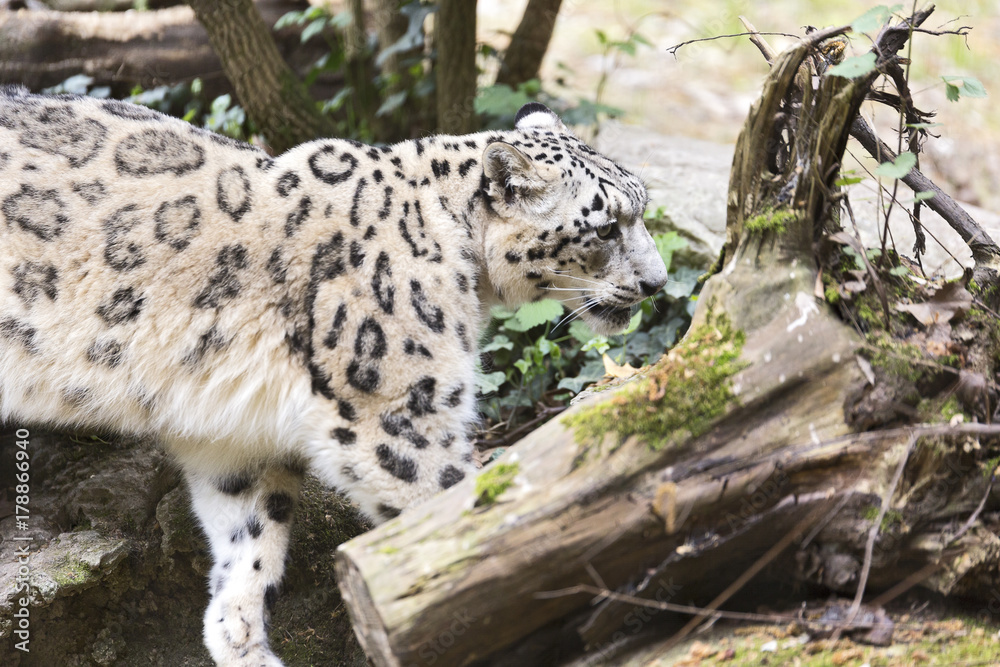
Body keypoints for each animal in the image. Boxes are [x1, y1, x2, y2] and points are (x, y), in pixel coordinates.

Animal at [0, 86, 667, 665]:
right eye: (605, 226)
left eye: (639, 209)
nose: (658, 283)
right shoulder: (399, 414)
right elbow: (453, 511)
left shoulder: (235, 436)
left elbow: (252, 536)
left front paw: (241, 639)